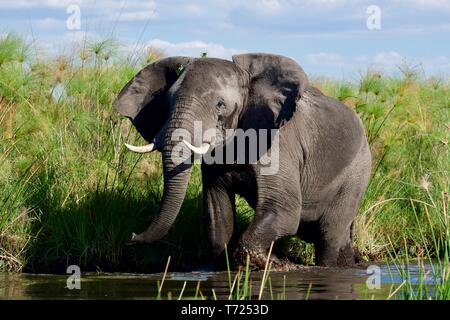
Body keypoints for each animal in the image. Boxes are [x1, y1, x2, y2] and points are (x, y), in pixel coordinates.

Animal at [114, 53, 370, 268]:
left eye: (220, 105)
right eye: (167, 102)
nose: (133, 236)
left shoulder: (278, 143)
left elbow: (284, 210)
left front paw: (274, 264)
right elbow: (218, 216)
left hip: (356, 174)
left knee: (328, 235)